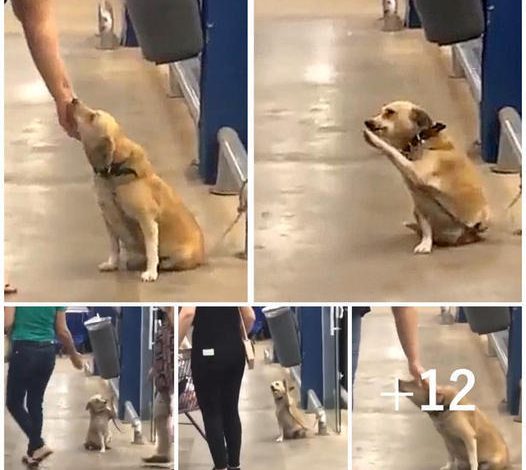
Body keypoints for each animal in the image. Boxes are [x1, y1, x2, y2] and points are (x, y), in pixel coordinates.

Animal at [71, 98, 206, 280]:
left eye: (93, 117)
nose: (74, 100)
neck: (114, 172)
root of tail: (203, 255)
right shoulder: (109, 219)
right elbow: (114, 247)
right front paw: (112, 263)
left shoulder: (146, 220)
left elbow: (151, 250)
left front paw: (150, 272)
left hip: (182, 254)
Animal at [364, 100, 490, 253]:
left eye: (390, 112)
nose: (368, 122)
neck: (420, 140)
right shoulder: (419, 202)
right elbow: (426, 228)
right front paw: (425, 243)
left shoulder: (417, 172)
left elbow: (392, 151)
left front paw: (374, 139)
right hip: (418, 210)